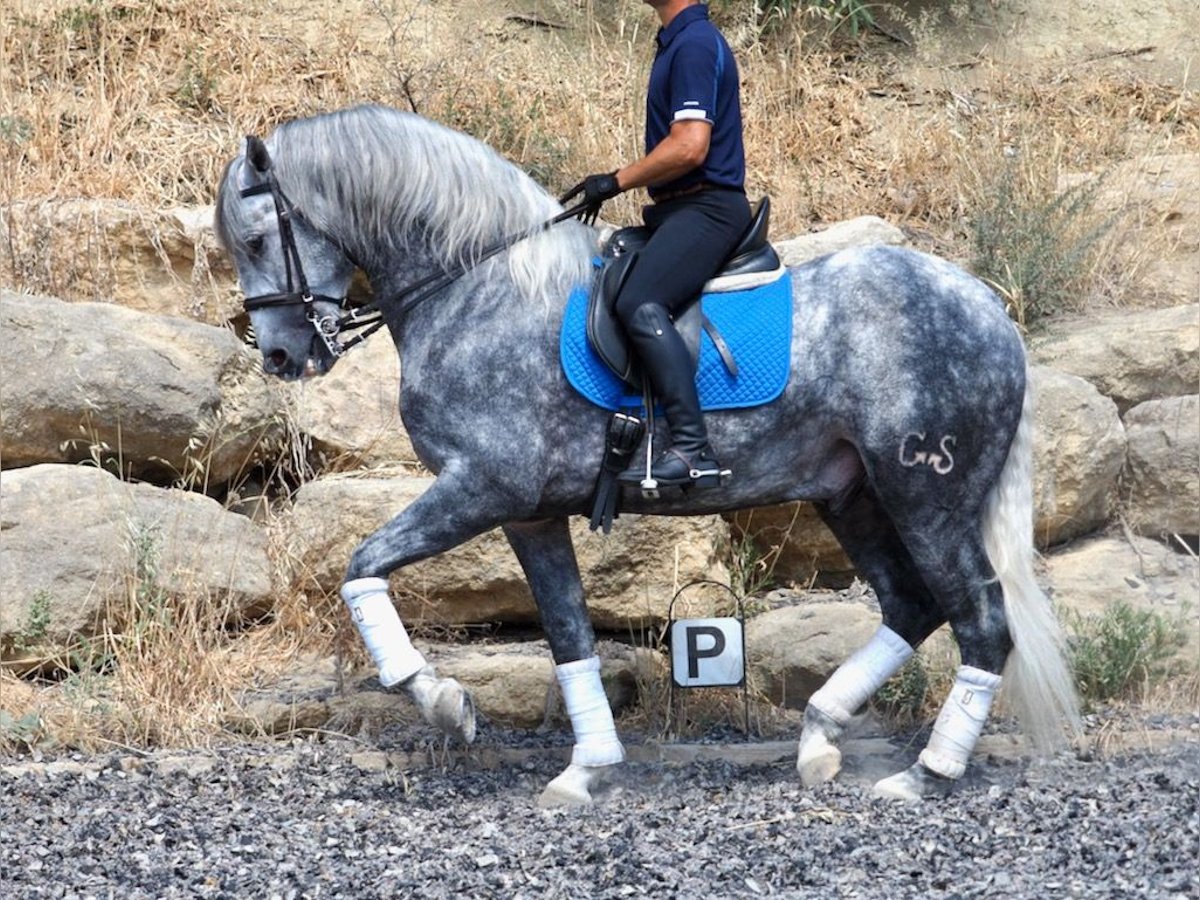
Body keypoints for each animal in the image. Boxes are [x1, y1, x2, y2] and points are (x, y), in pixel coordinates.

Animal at [213, 102, 1080, 806]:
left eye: (255, 240)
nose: (282, 357)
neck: (479, 287)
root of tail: (989, 311)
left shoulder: (483, 489)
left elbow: (362, 565)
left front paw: (443, 702)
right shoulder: (528, 516)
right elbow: (568, 635)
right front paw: (585, 769)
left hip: (926, 494)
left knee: (980, 620)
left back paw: (925, 773)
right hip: (852, 493)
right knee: (912, 605)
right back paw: (820, 737)